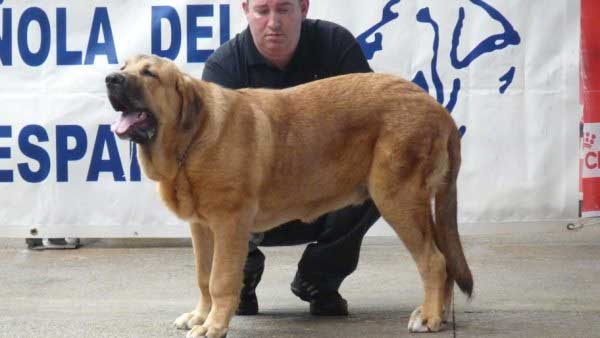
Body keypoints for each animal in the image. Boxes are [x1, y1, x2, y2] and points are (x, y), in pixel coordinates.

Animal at [104, 55, 474, 338]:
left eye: (149, 73)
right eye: (123, 66)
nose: (110, 78)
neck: (191, 140)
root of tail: (437, 108)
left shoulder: (229, 224)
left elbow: (221, 279)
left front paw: (214, 325)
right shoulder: (202, 227)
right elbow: (203, 277)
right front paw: (200, 315)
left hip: (396, 198)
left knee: (433, 261)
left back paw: (429, 318)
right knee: (443, 259)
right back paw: (436, 313)